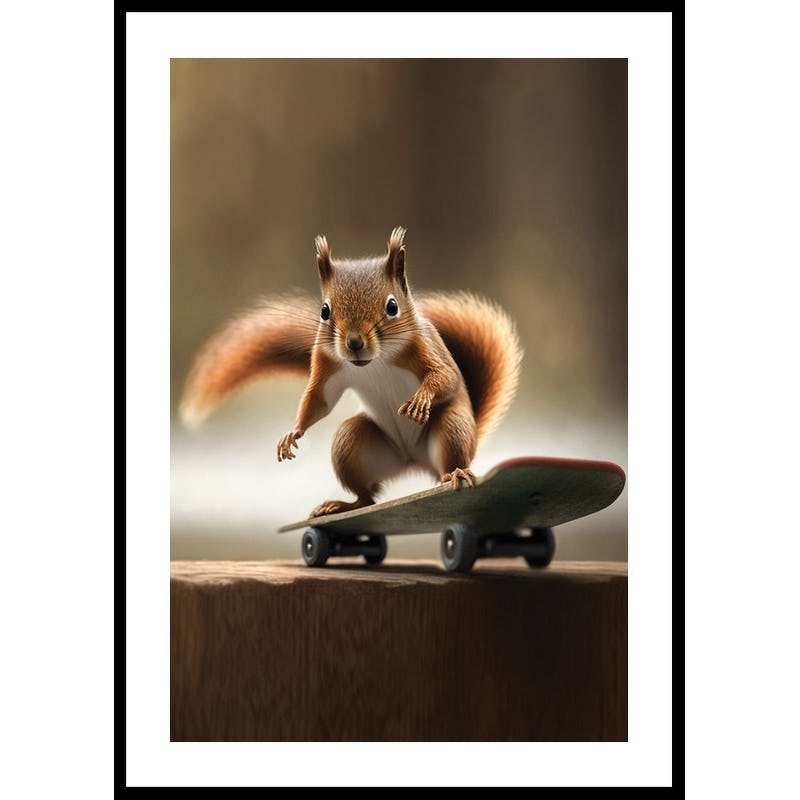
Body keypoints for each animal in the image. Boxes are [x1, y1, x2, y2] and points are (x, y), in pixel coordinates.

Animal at [180, 227, 523, 518]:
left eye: (393, 306)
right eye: (324, 310)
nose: (354, 342)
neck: (376, 361)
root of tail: (412, 460)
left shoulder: (426, 349)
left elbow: (446, 376)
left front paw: (421, 398)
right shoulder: (326, 362)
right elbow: (319, 399)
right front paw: (294, 432)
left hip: (452, 428)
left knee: (448, 461)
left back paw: (456, 472)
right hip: (352, 444)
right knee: (367, 496)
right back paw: (342, 505)